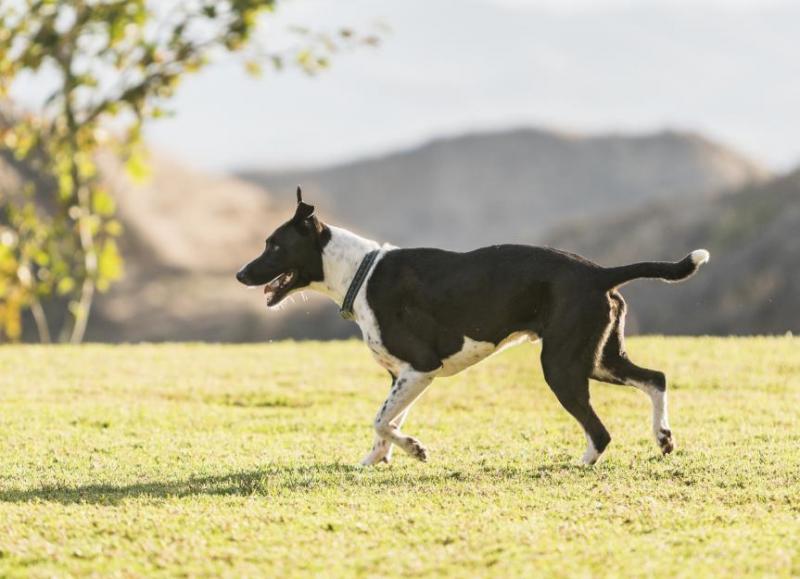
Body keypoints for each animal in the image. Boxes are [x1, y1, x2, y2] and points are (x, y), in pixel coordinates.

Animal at [234, 189, 708, 466]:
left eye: (273, 245)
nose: (240, 274)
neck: (359, 272)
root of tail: (597, 273)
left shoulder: (420, 368)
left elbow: (382, 420)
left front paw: (414, 449)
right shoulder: (404, 375)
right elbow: (389, 420)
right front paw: (377, 459)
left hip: (562, 365)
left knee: (601, 430)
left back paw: (586, 460)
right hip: (599, 359)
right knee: (656, 378)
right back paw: (663, 437)